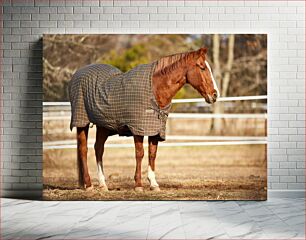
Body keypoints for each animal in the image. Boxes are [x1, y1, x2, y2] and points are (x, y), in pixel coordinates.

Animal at [76, 47, 220, 192]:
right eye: (202, 67)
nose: (215, 95)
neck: (155, 90)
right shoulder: (138, 129)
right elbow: (140, 153)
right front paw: (138, 185)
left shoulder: (155, 130)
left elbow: (152, 154)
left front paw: (153, 184)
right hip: (81, 123)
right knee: (83, 149)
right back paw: (88, 185)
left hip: (103, 126)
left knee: (98, 148)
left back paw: (102, 184)